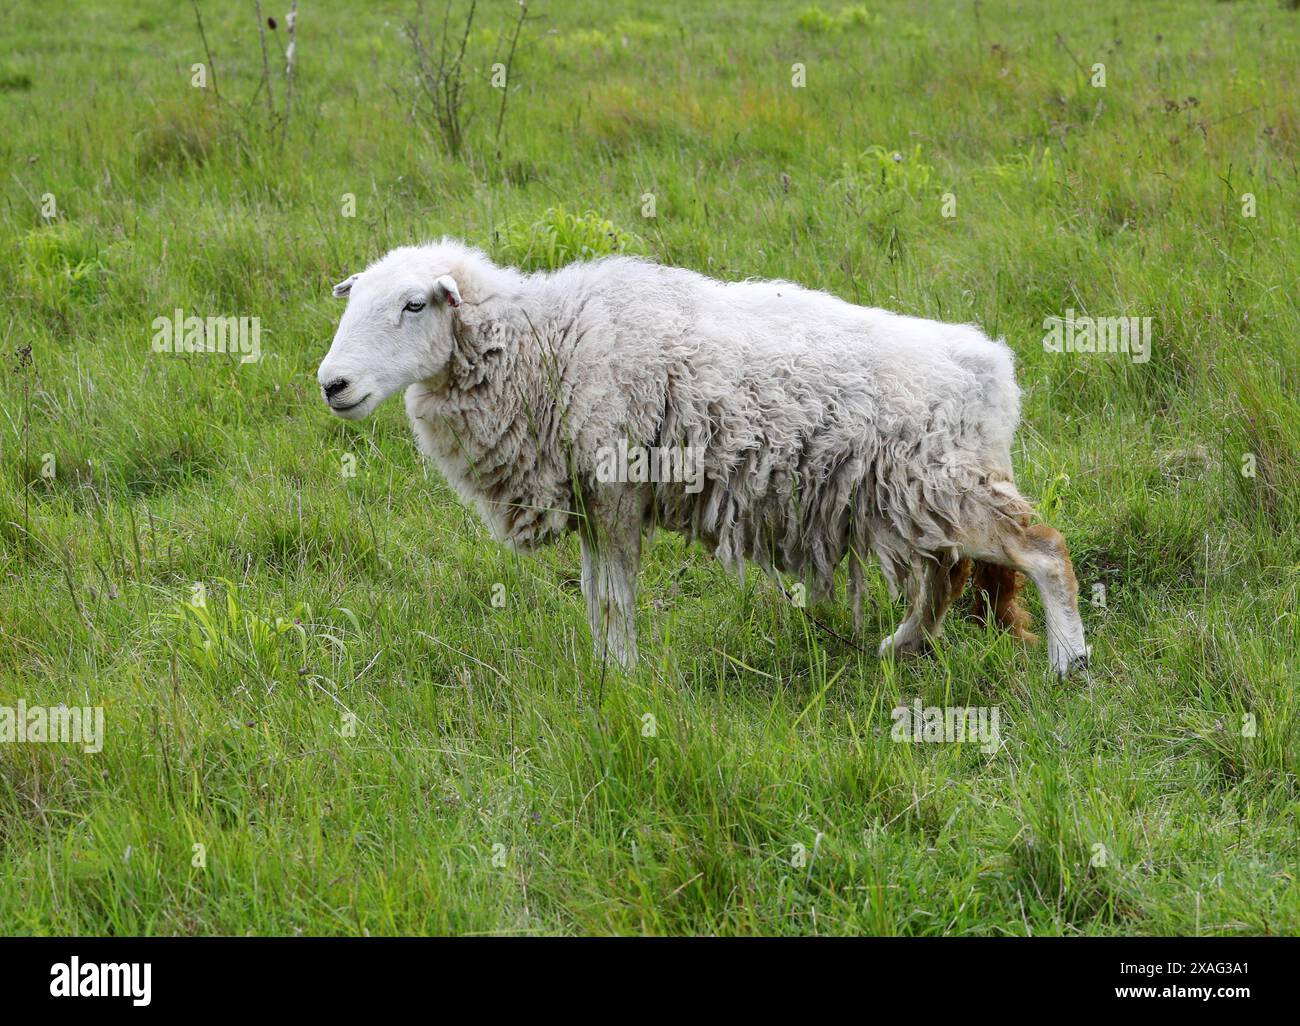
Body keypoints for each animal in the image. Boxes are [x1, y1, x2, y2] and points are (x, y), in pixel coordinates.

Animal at [316, 239, 1090, 677]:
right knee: (944, 576)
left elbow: (613, 598)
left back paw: (1068, 665)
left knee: (1042, 550)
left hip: (943, 486)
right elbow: (595, 594)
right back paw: (898, 650)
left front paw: (621, 680)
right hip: (911, 498)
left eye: (415, 304)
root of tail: (992, 368)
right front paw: (605, 673)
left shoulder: (616, 491)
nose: (333, 385)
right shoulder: (596, 499)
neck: (548, 342)